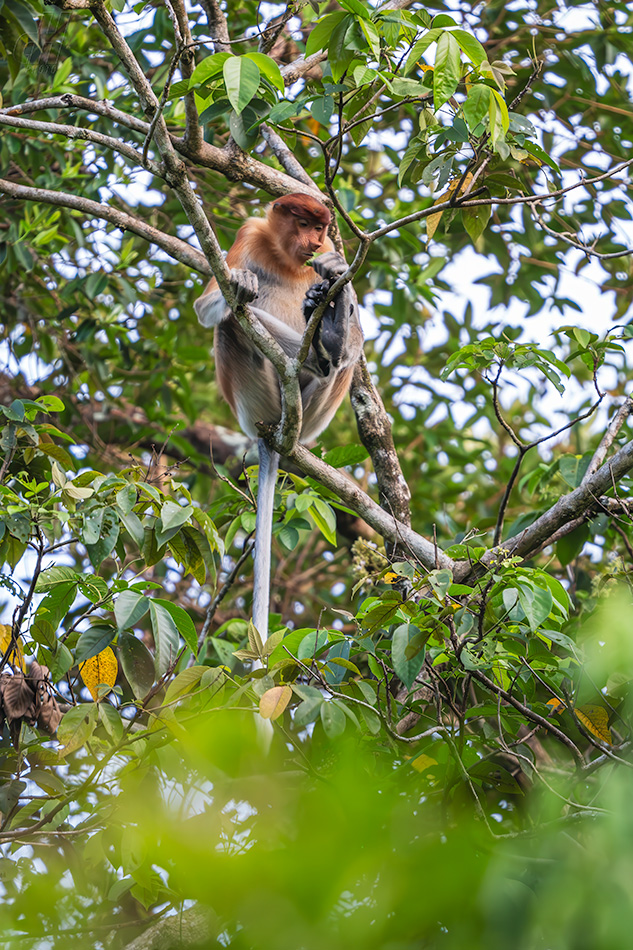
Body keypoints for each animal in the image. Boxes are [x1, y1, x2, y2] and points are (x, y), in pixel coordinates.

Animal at [195, 196, 362, 648]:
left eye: (320, 229)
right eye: (302, 223)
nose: (314, 243)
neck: (286, 258)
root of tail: (276, 432)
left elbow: (358, 331)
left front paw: (332, 283)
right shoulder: (249, 233)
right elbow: (208, 305)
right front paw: (241, 281)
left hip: (314, 414)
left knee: (347, 360)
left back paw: (328, 339)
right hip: (252, 398)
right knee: (232, 323)